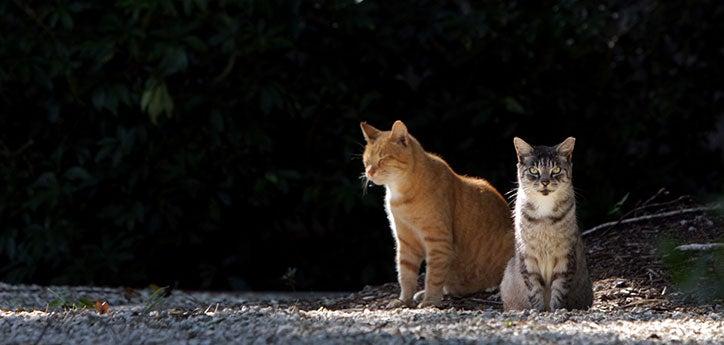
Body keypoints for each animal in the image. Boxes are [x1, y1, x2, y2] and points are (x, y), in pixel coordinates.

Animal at [360, 120, 512, 306]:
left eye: (383, 159)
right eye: (366, 161)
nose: (369, 172)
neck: (400, 194)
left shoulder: (438, 241)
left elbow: (433, 275)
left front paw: (430, 301)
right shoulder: (406, 242)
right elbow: (406, 275)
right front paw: (404, 300)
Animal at [500, 136, 592, 310]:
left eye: (555, 170)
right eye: (533, 170)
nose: (545, 181)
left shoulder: (565, 255)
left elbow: (560, 288)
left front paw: (555, 309)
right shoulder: (527, 255)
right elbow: (534, 288)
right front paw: (539, 310)